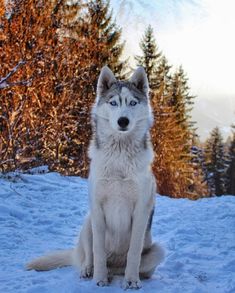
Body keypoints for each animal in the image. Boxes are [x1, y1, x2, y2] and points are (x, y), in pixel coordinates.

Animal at [26, 65, 164, 288]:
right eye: (113, 102)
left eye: (132, 103)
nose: (123, 121)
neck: (119, 157)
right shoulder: (98, 210)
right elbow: (97, 251)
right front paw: (99, 279)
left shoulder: (141, 211)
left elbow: (134, 252)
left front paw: (131, 281)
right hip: (87, 223)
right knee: (89, 255)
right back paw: (89, 271)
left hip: (159, 251)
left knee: (122, 267)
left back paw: (120, 275)